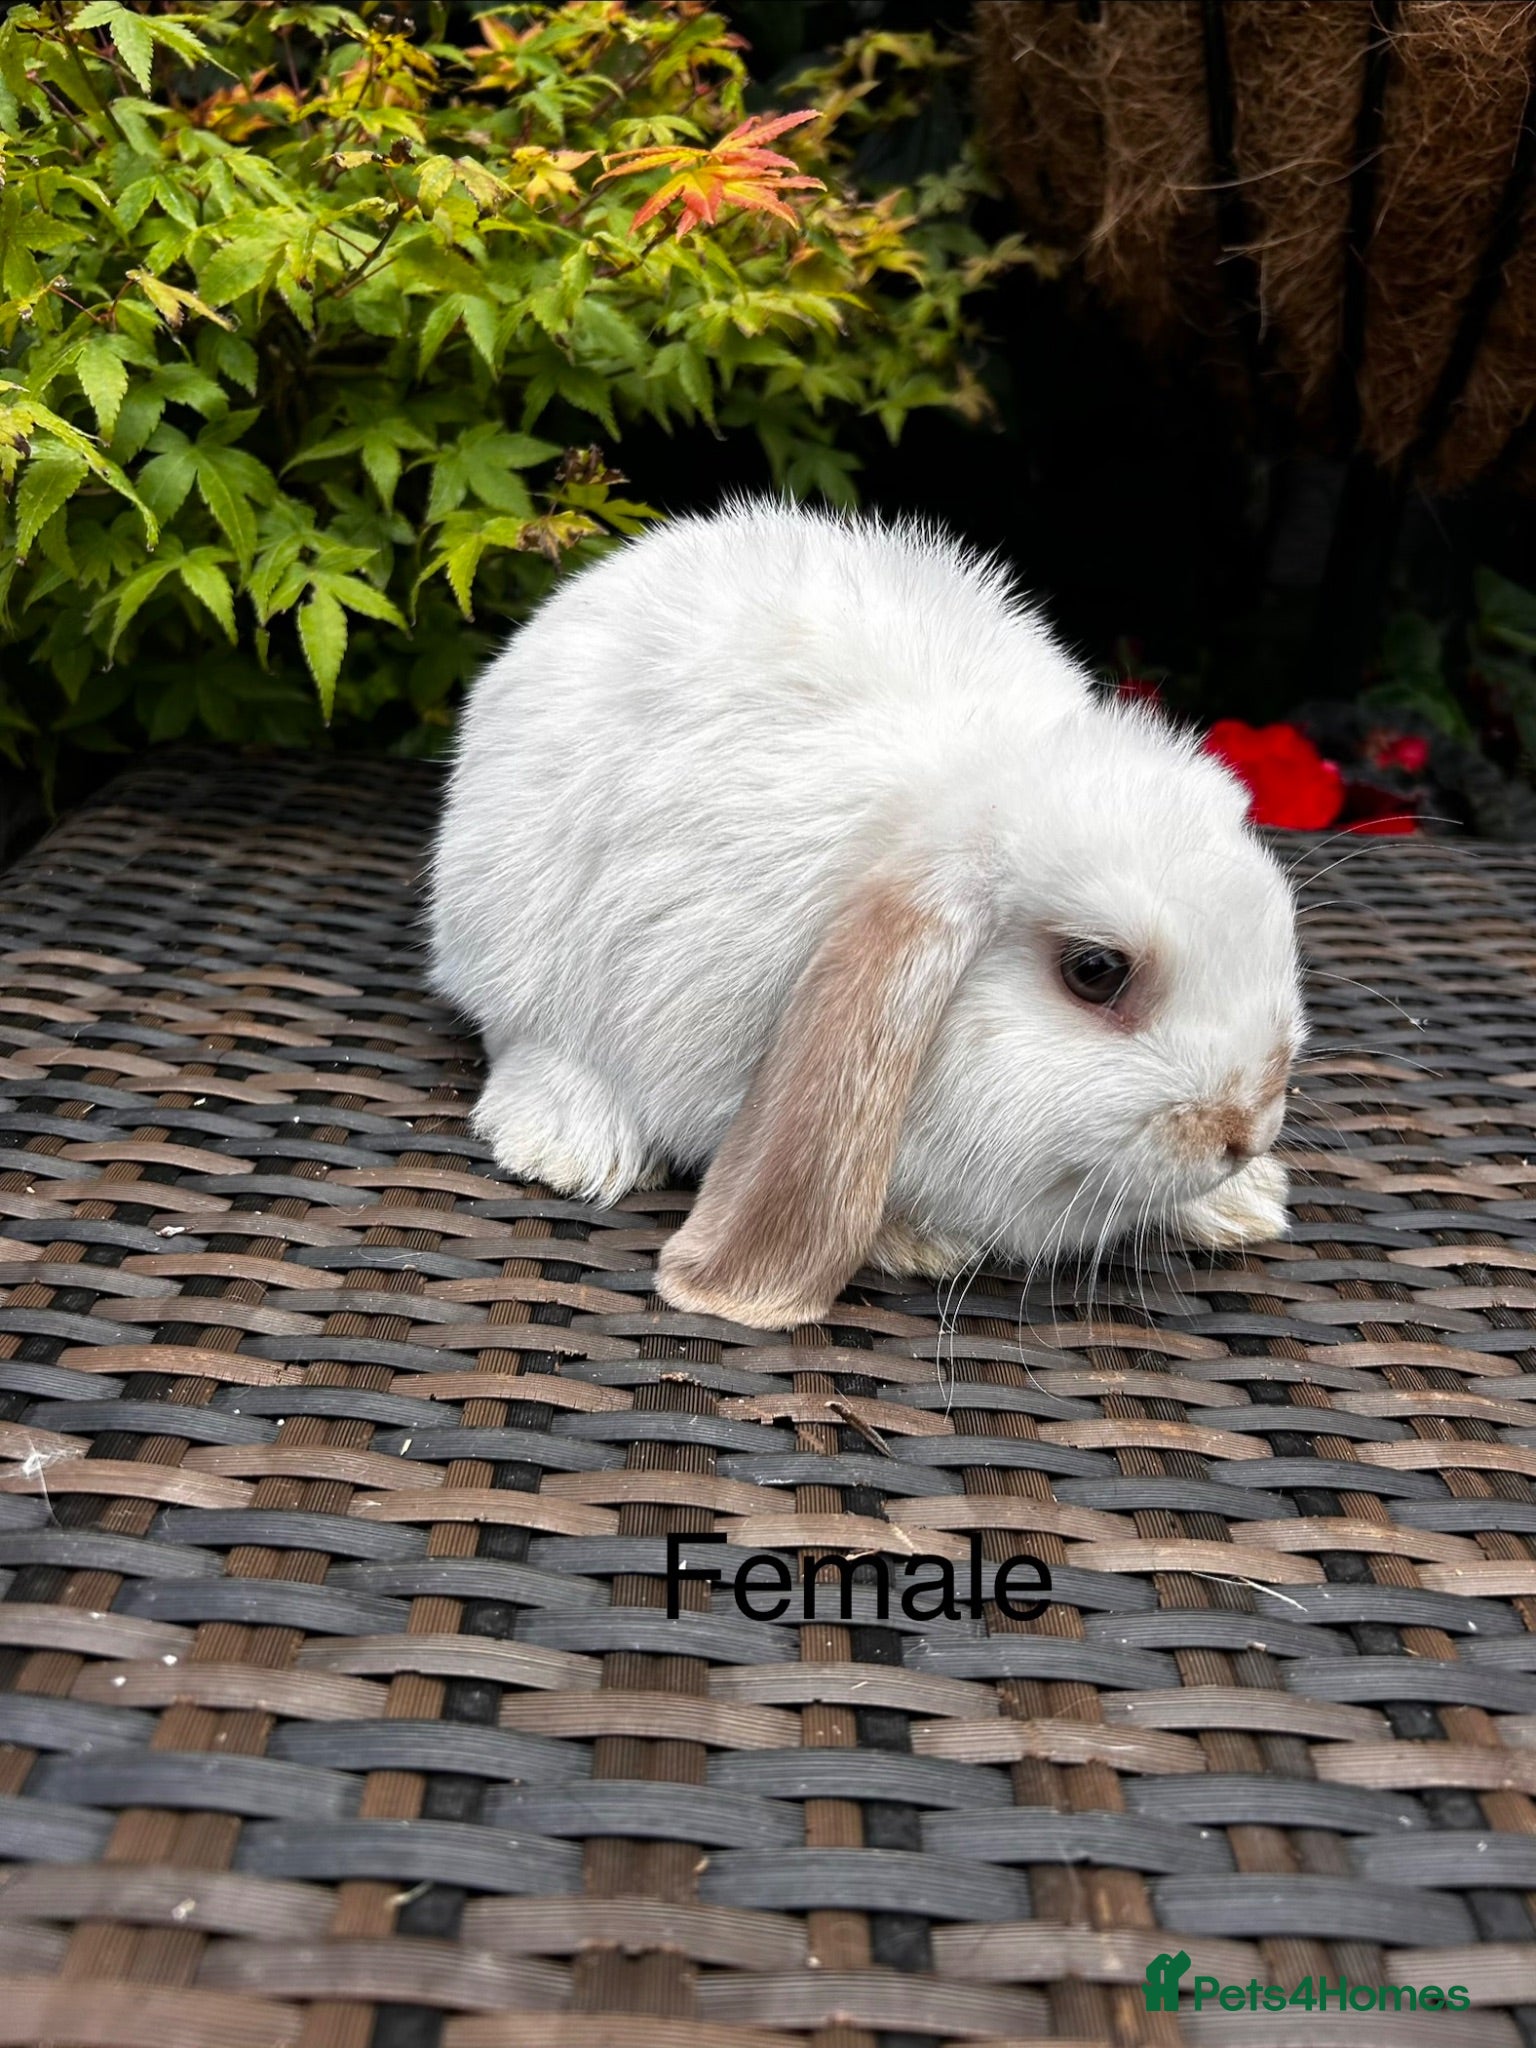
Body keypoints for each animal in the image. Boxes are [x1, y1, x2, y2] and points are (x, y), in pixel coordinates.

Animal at [429, 500, 1303, 1330]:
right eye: (1095, 971)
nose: (1245, 1132)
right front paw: (917, 1240)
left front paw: (1248, 1202)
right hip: (506, 935)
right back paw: (569, 1144)